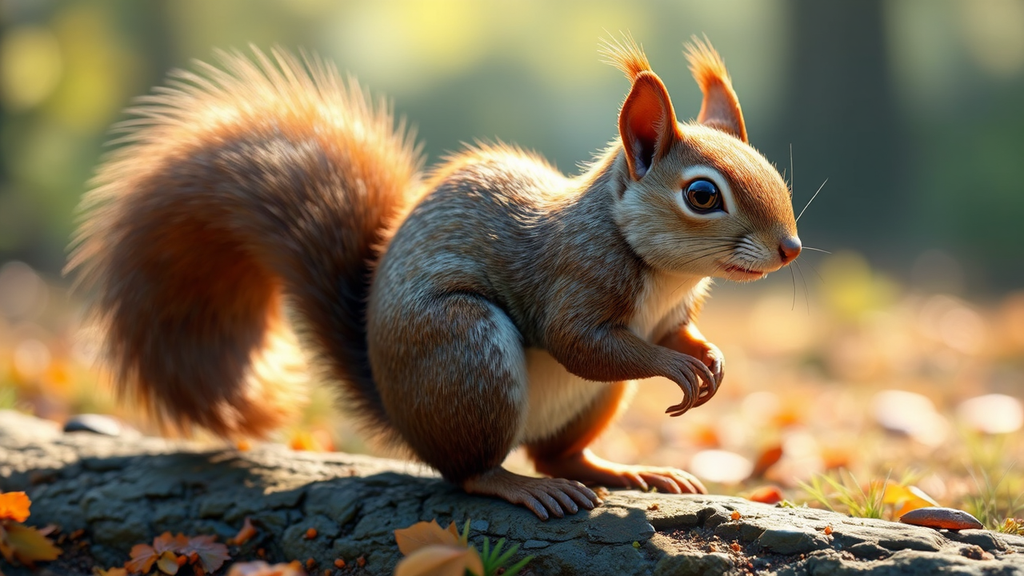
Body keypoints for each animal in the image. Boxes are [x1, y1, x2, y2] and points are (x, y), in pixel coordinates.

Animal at [68, 36, 801, 520]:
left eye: (771, 168)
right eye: (702, 195)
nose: (790, 249)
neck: (666, 272)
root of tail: (402, 412)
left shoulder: (670, 312)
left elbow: (678, 334)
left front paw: (710, 359)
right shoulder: (573, 278)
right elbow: (581, 343)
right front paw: (677, 370)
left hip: (586, 405)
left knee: (558, 455)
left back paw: (628, 471)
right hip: (466, 355)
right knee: (469, 471)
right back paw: (517, 486)